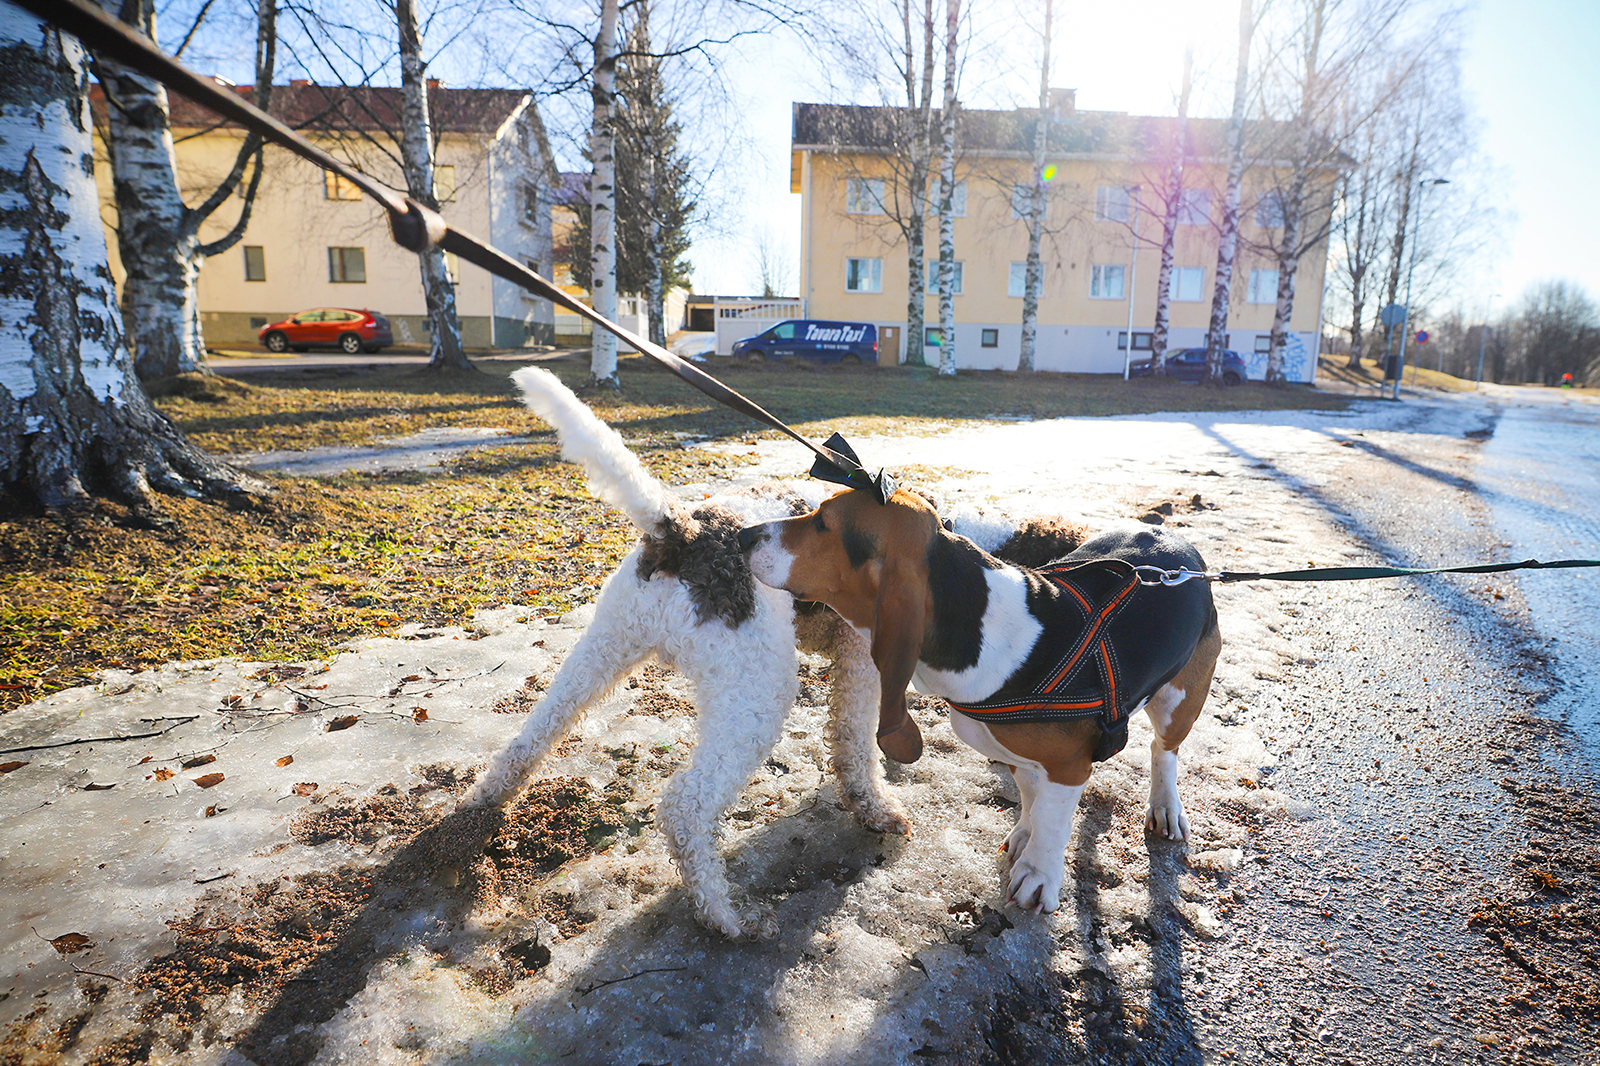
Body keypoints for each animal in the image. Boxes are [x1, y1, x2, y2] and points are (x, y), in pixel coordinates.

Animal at [464, 369, 915, 934]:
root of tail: (685, 530)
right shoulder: (860, 658)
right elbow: (855, 740)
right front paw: (876, 807)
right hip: (756, 689)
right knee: (687, 806)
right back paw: (725, 914)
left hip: (605, 645)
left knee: (528, 739)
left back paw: (478, 808)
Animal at [739, 486, 1222, 909]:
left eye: (823, 522)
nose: (743, 536)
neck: (986, 626)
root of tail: (1180, 548)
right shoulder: (1014, 751)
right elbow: (1031, 795)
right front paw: (1025, 833)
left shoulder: (1069, 767)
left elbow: (1052, 821)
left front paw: (1039, 873)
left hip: (1180, 699)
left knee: (1164, 751)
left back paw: (1165, 805)